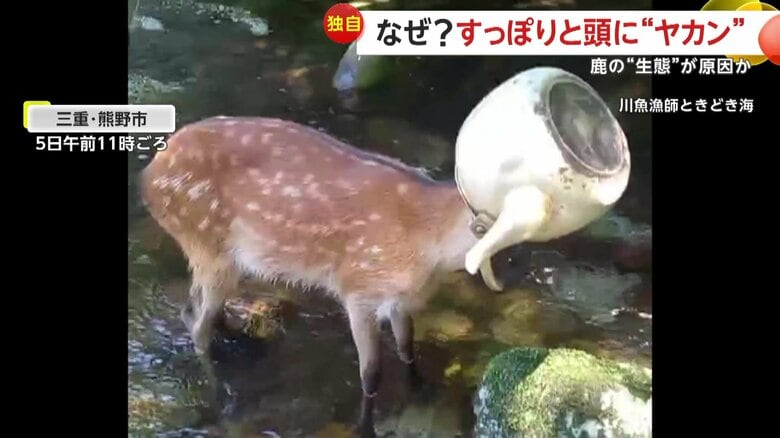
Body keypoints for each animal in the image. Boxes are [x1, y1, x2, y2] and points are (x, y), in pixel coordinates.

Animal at [139, 115, 496, 437]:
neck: (427, 241)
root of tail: (148, 176)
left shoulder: (401, 299)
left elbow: (407, 347)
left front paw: (424, 392)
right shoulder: (358, 286)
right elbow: (371, 373)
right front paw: (366, 424)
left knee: (194, 311)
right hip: (208, 245)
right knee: (197, 325)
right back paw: (222, 398)